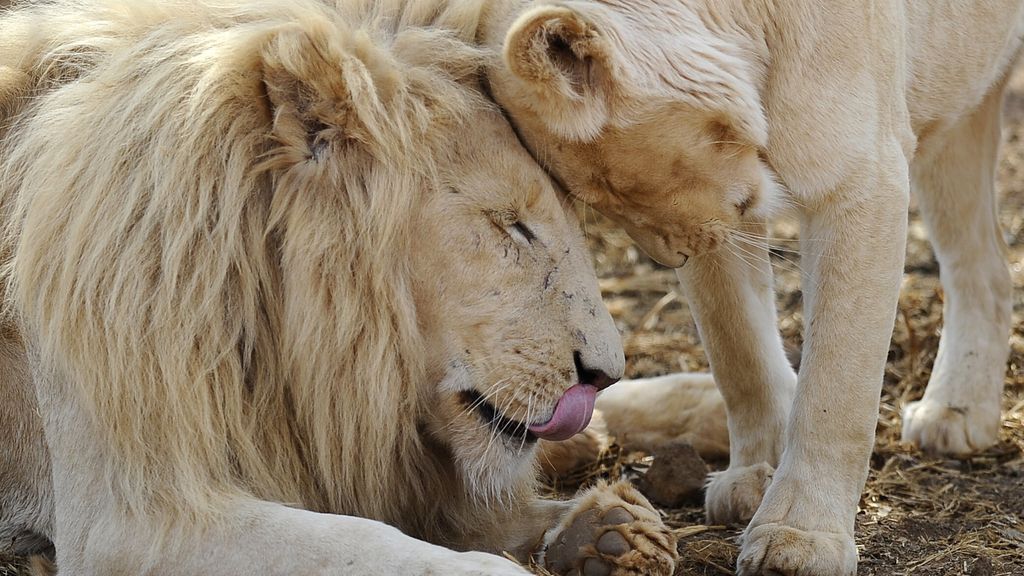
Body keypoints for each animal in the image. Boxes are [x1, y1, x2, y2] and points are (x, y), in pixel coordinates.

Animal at [464, 1, 1024, 573]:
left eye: (612, 185)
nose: (672, 257)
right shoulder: (722, 219)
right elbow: (739, 350)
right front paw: (753, 477)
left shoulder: (861, 180)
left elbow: (835, 386)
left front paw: (801, 535)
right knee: (985, 269)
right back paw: (958, 411)